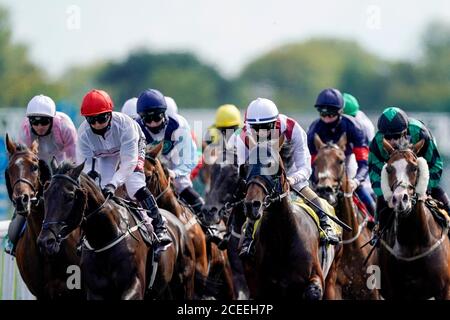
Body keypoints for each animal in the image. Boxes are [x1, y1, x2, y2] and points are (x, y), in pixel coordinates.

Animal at [37, 162, 193, 300]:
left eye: (69, 196)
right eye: (45, 194)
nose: (45, 241)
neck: (105, 236)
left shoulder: (134, 285)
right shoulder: (96, 292)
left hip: (183, 283)